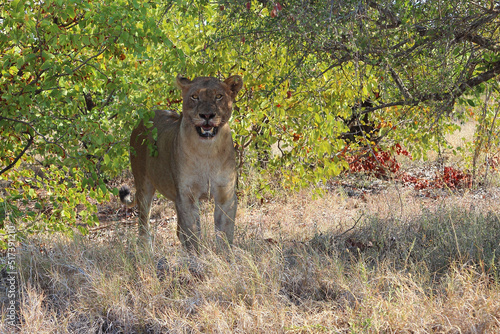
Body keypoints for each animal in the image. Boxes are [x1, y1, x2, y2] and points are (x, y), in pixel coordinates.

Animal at [117, 73, 242, 250]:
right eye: (194, 97)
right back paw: (146, 249)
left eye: (219, 96)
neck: (207, 151)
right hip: (143, 184)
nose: (207, 115)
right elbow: (193, 234)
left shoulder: (226, 195)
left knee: (177, 230)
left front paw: (224, 256)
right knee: (143, 221)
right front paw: (196, 256)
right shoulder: (186, 195)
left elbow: (224, 233)